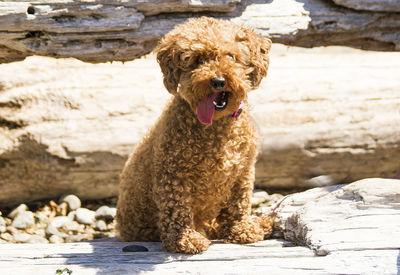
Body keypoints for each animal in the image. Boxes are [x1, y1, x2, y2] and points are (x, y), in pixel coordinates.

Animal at [115, 17, 276, 254]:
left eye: (231, 56)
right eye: (197, 60)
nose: (218, 81)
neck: (217, 126)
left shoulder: (243, 171)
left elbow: (239, 203)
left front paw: (242, 229)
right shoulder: (173, 174)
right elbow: (177, 209)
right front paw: (185, 240)